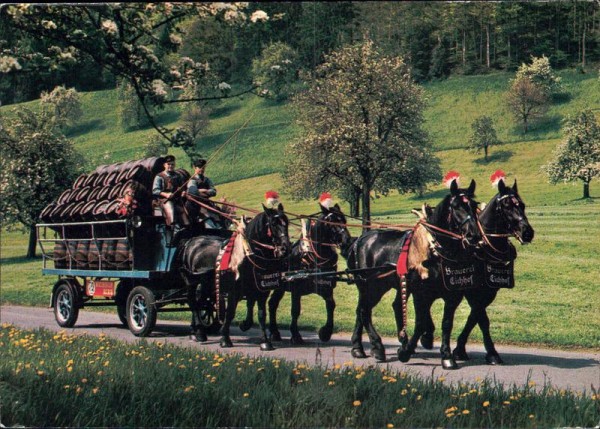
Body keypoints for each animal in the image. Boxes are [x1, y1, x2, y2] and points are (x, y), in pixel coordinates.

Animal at [176, 204, 290, 352]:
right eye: (273, 224)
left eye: (286, 222)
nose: (285, 248)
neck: (248, 254)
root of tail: (190, 241)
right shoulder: (233, 290)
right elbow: (230, 312)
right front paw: (225, 339)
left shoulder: (261, 289)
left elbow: (261, 314)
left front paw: (265, 342)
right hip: (191, 281)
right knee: (193, 302)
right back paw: (199, 332)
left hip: (207, 284)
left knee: (200, 302)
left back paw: (195, 331)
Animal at [350, 179, 480, 366]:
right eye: (456, 206)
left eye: (474, 205)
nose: (473, 235)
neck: (435, 251)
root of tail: (361, 239)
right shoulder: (420, 293)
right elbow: (420, 323)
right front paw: (405, 351)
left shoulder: (452, 296)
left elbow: (446, 323)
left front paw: (446, 355)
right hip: (372, 287)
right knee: (364, 312)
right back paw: (377, 347)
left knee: (364, 310)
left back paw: (360, 347)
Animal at [452, 179, 536, 362]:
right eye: (506, 206)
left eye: (522, 205)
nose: (527, 232)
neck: (482, 246)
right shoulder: (472, 291)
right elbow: (481, 318)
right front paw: (491, 352)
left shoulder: (490, 291)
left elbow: (474, 317)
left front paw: (461, 348)